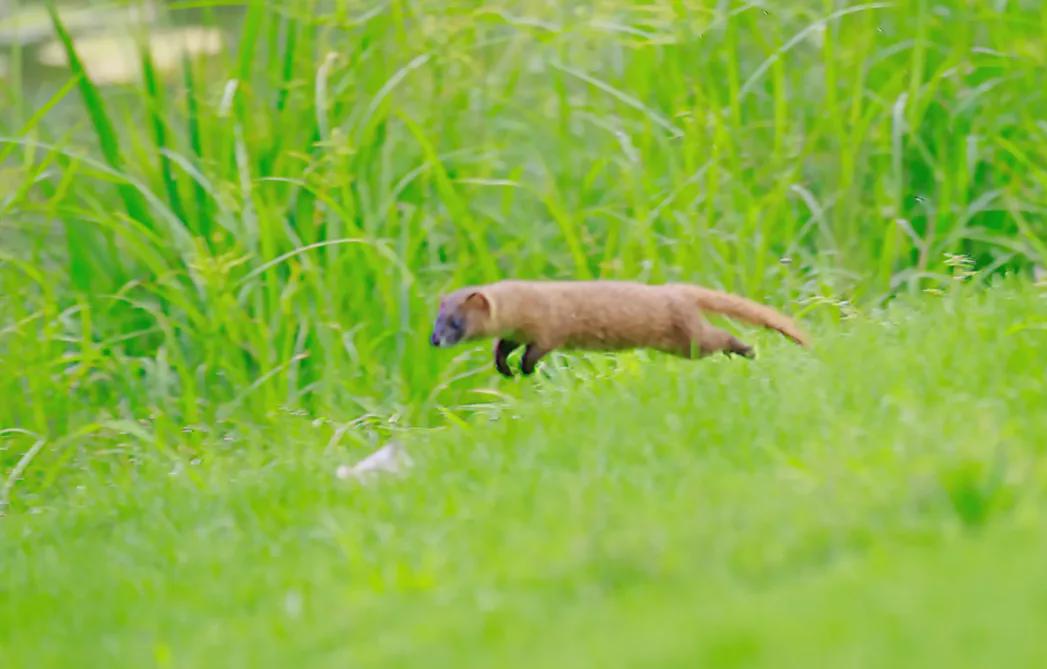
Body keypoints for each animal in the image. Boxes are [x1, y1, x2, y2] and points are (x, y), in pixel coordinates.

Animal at [429, 280, 804, 378]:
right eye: (435, 319)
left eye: (456, 323)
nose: (434, 340)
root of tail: (676, 289)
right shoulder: (512, 333)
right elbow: (502, 346)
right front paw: (504, 367)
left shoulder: (550, 327)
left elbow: (541, 348)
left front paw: (526, 368)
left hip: (688, 337)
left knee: (718, 337)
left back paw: (747, 350)